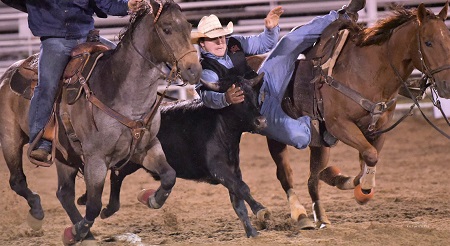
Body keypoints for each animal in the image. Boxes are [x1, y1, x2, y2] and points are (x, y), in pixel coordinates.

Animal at [0, 0, 201, 243]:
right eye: (167, 29)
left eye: (189, 27)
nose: (194, 70)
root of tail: (9, 72)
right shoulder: (96, 159)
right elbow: (94, 205)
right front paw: (76, 230)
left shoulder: (147, 147)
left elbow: (169, 175)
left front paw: (151, 198)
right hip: (10, 138)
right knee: (18, 180)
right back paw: (39, 213)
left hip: (65, 155)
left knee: (64, 193)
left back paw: (83, 232)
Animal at [264, 2, 450, 229]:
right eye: (428, 42)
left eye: (449, 39)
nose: (447, 85)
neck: (367, 71)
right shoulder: (339, 125)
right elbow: (370, 156)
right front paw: (359, 189)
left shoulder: (378, 130)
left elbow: (367, 161)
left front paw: (339, 178)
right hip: (276, 137)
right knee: (286, 175)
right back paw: (300, 215)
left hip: (319, 144)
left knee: (312, 180)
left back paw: (321, 215)